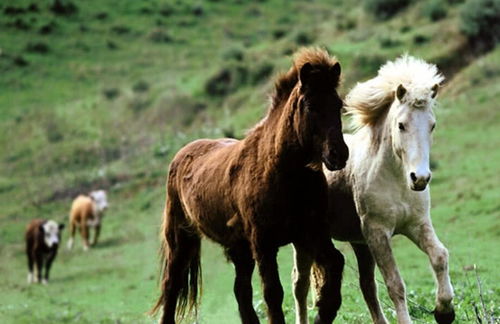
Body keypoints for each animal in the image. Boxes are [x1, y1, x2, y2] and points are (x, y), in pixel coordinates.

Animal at [151, 48, 348, 324]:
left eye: (338, 104)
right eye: (310, 105)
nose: (338, 154)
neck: (282, 173)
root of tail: (182, 154)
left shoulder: (312, 233)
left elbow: (335, 265)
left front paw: (323, 313)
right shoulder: (264, 243)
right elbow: (273, 293)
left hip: (239, 248)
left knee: (240, 290)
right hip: (182, 238)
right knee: (172, 283)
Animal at [292, 55, 456, 324]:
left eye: (432, 125)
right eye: (401, 125)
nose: (420, 178)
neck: (396, 181)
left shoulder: (417, 225)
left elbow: (440, 256)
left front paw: (444, 311)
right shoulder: (378, 233)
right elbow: (395, 284)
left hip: (360, 244)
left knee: (367, 285)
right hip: (307, 241)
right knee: (300, 283)